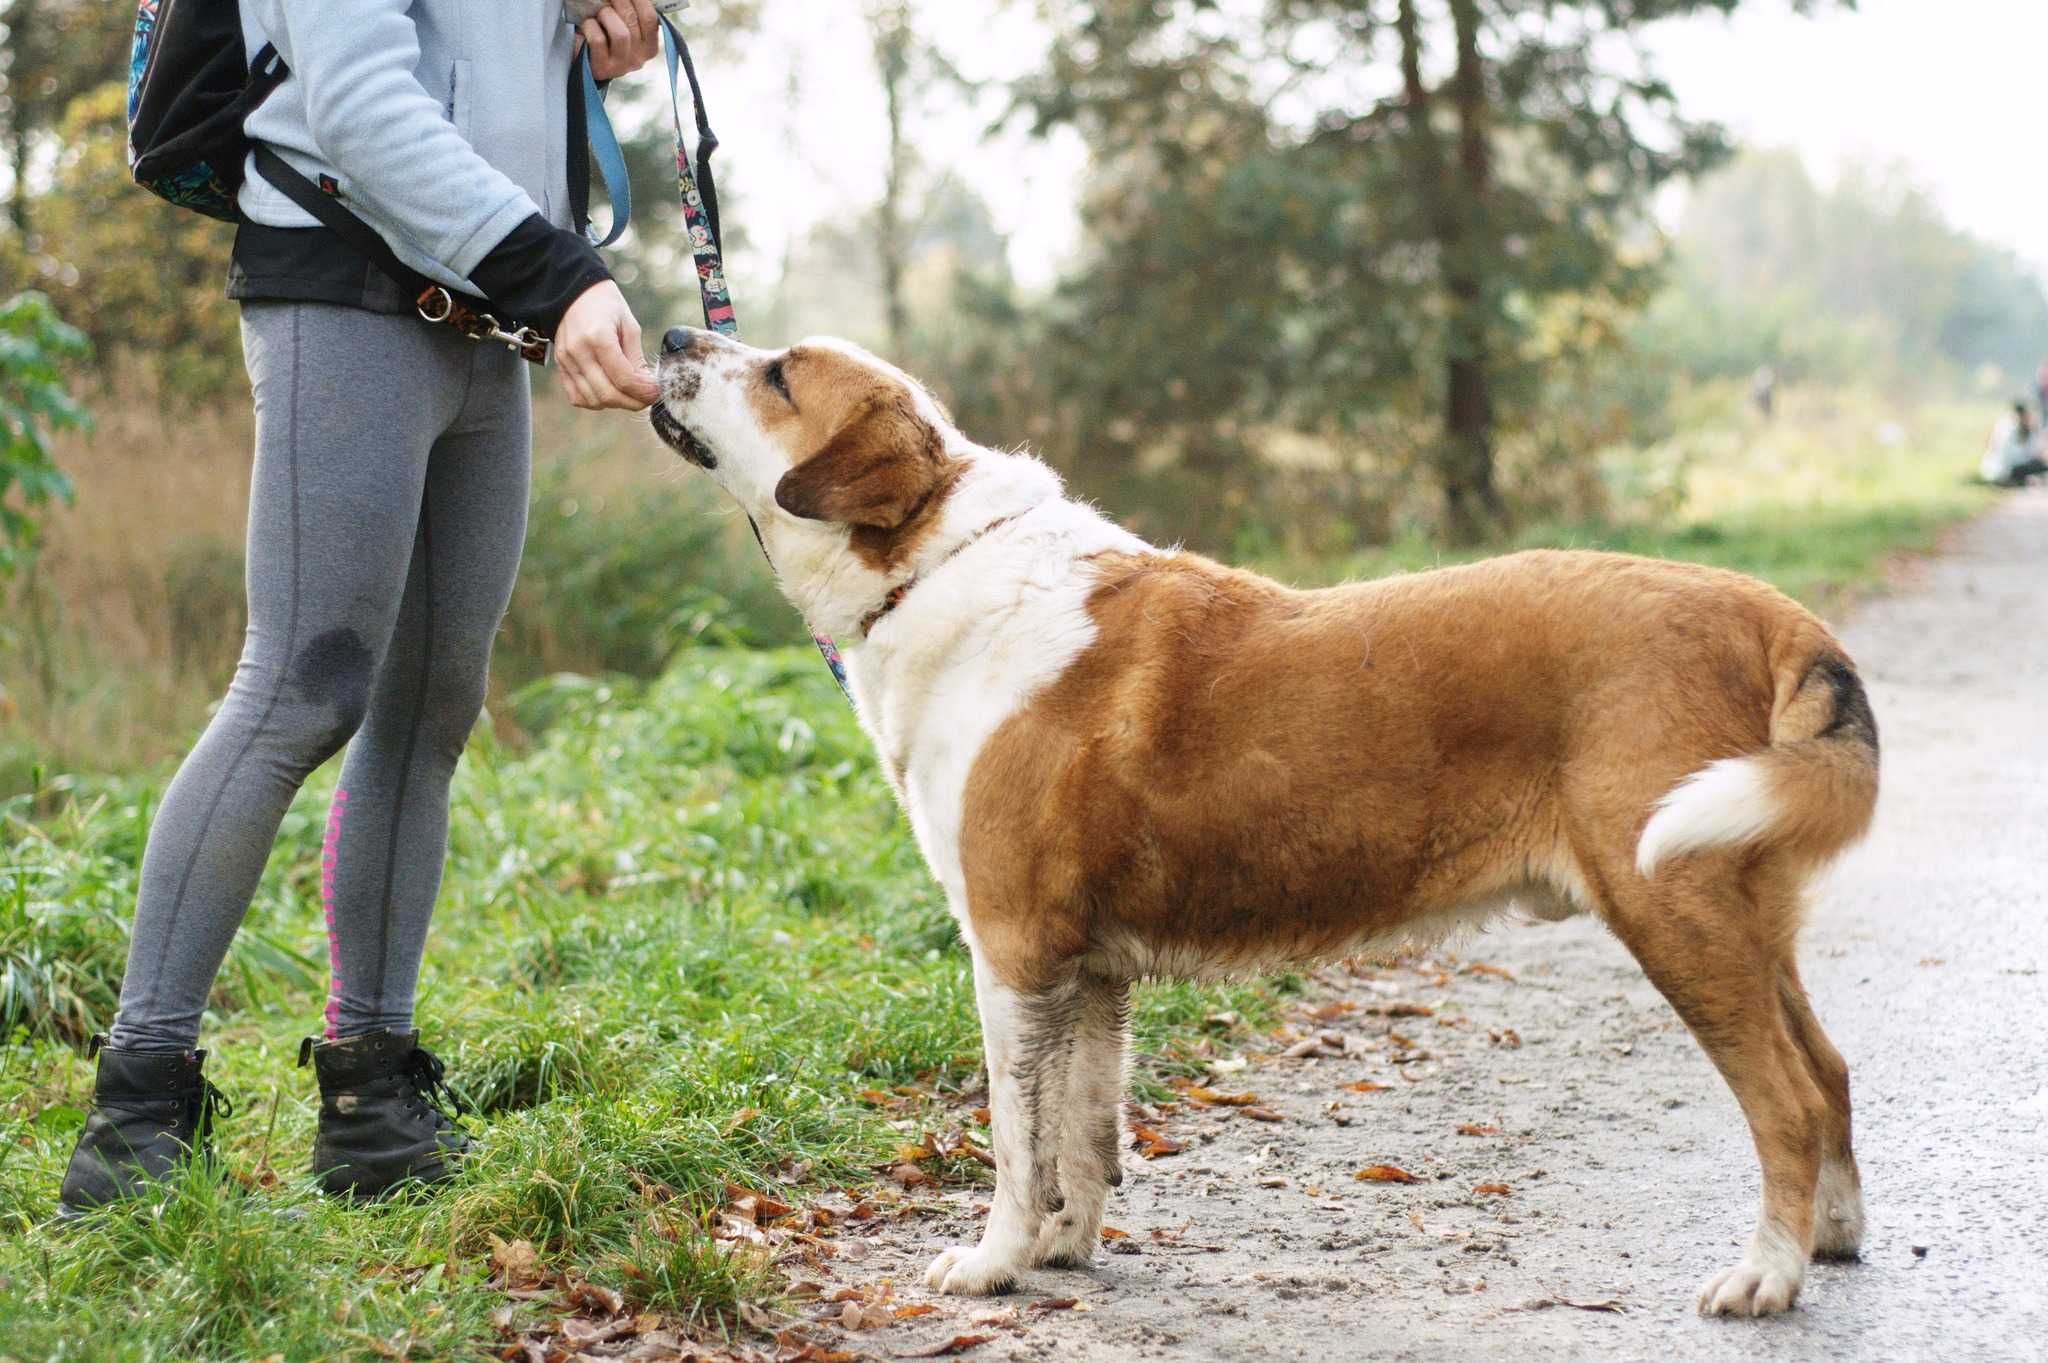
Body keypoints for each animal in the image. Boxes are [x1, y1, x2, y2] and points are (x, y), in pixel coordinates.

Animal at [647, 323, 1875, 1309]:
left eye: (778, 373)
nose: (665, 331)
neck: (940, 558)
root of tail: (1762, 609)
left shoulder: (1012, 949)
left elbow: (1013, 1134)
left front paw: (993, 1260)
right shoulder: (1088, 970)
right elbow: (1083, 1129)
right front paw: (1062, 1249)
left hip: (1673, 911)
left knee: (1783, 1099)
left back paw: (1767, 1273)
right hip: (1740, 915)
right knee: (1826, 1070)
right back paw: (1833, 1235)